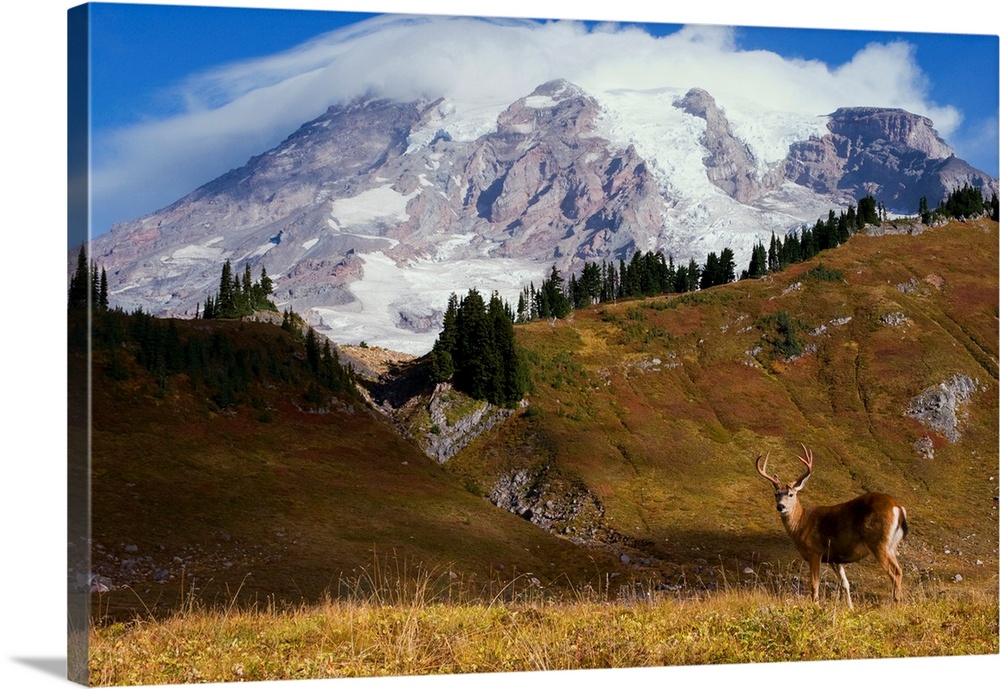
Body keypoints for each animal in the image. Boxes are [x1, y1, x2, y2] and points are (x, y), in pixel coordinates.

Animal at [756, 440, 908, 608]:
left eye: (791, 494)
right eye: (776, 494)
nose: (780, 506)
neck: (801, 523)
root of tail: (898, 507)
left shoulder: (815, 551)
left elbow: (814, 583)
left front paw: (815, 604)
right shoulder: (835, 558)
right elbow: (845, 583)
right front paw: (850, 607)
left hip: (878, 542)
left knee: (895, 572)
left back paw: (895, 605)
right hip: (892, 545)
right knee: (898, 570)